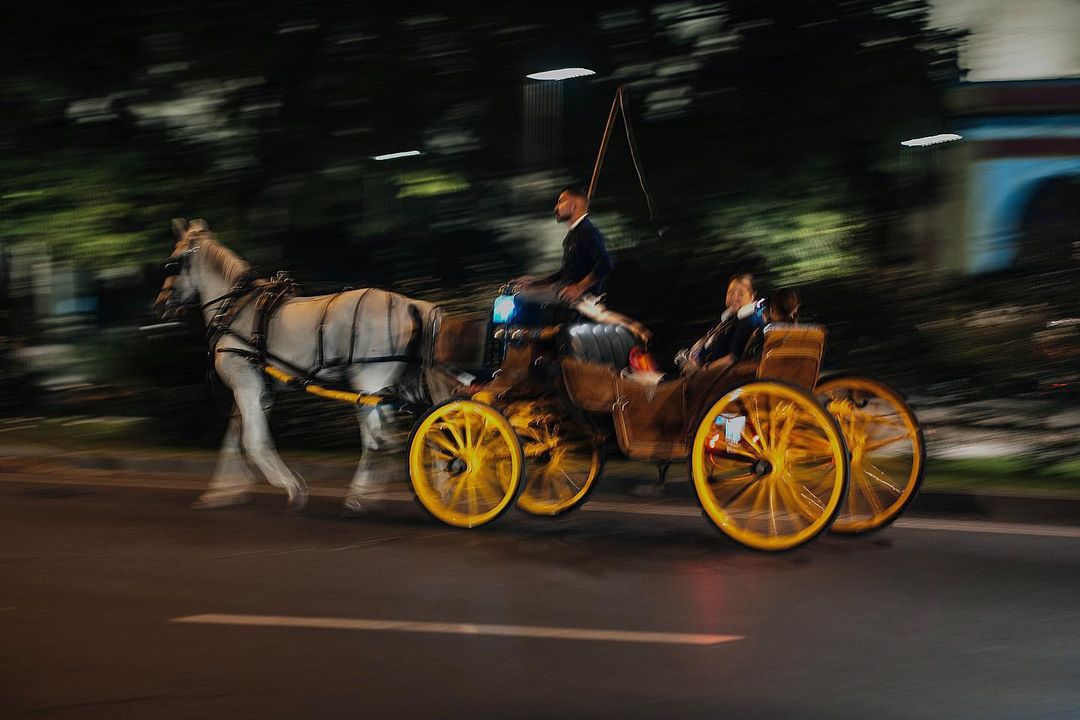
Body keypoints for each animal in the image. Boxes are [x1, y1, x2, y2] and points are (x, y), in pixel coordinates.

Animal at [154, 219, 437, 512]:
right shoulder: (257, 390)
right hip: (396, 385)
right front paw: (222, 492)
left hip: (368, 385)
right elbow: (233, 439)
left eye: (172, 263)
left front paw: (291, 486)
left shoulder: (246, 386)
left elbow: (253, 441)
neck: (237, 309)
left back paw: (363, 494)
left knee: (379, 439)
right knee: (416, 432)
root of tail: (408, 303)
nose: (160, 304)